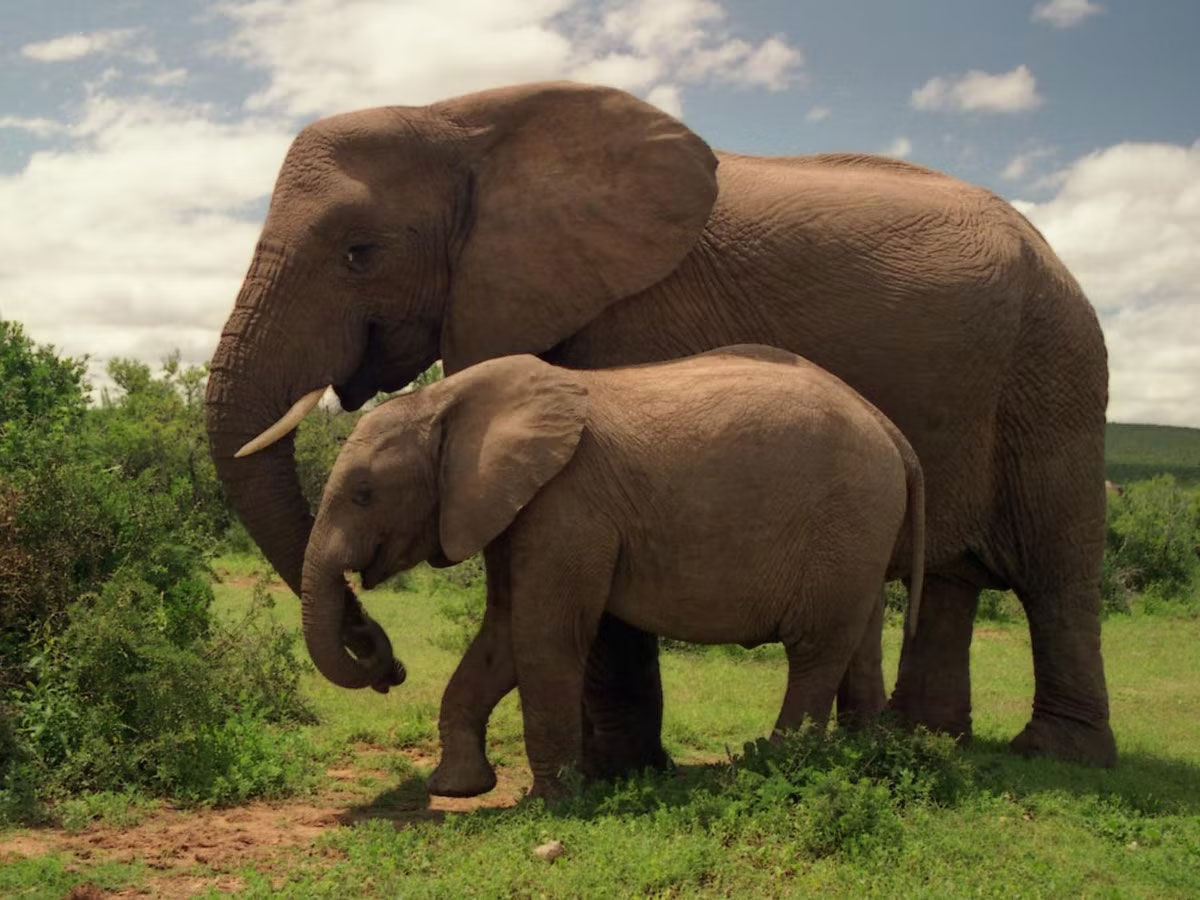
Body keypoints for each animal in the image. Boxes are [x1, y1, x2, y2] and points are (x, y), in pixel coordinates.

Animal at [300, 347, 928, 798]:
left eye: (363, 493)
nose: (391, 670)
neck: (446, 399)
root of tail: (893, 432)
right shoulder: (511, 507)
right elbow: (502, 634)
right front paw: (457, 789)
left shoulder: (566, 505)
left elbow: (543, 635)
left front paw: (554, 803)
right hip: (861, 534)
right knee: (860, 641)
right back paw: (860, 759)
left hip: (844, 521)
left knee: (816, 649)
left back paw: (772, 767)